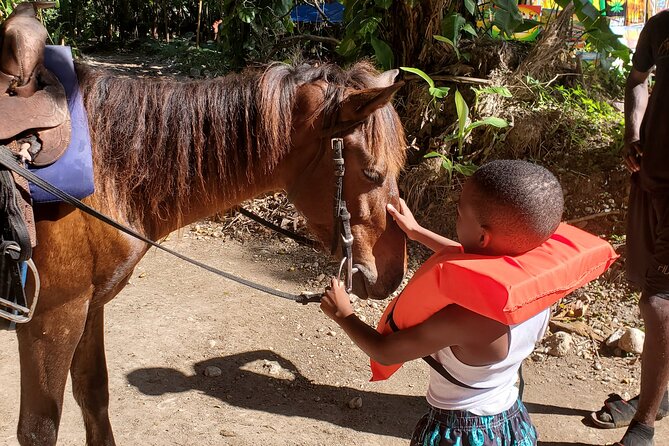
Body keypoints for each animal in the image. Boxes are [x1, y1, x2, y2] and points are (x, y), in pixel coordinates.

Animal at [14, 60, 408, 446]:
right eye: (373, 173)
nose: (394, 274)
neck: (105, 173)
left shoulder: (90, 307)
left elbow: (94, 395)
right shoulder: (52, 319)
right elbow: (39, 429)